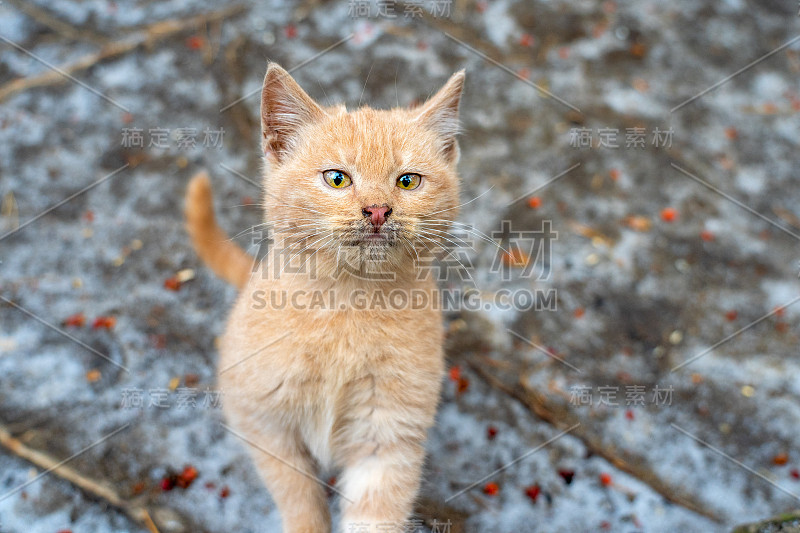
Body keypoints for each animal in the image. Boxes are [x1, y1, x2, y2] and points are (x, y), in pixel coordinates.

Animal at [185, 63, 466, 532]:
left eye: (407, 181)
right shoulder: (265, 425)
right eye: (337, 178)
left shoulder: (389, 438)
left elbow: (375, 518)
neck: (348, 303)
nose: (378, 210)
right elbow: (301, 503)